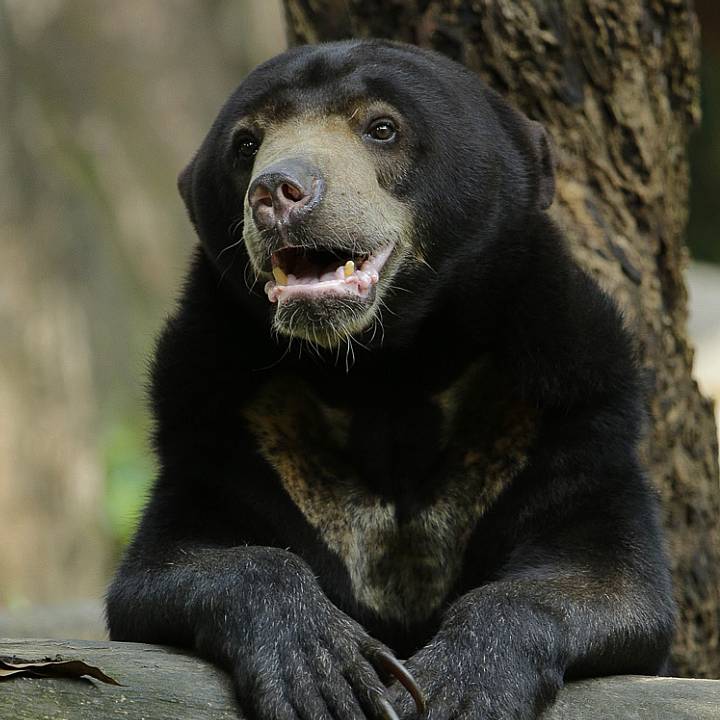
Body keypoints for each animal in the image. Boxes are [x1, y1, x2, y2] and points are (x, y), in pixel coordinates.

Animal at [106, 39, 674, 720]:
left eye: (382, 128)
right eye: (246, 144)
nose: (277, 190)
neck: (386, 373)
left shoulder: (566, 414)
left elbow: (607, 579)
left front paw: (460, 686)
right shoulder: (225, 425)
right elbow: (178, 563)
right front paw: (323, 668)